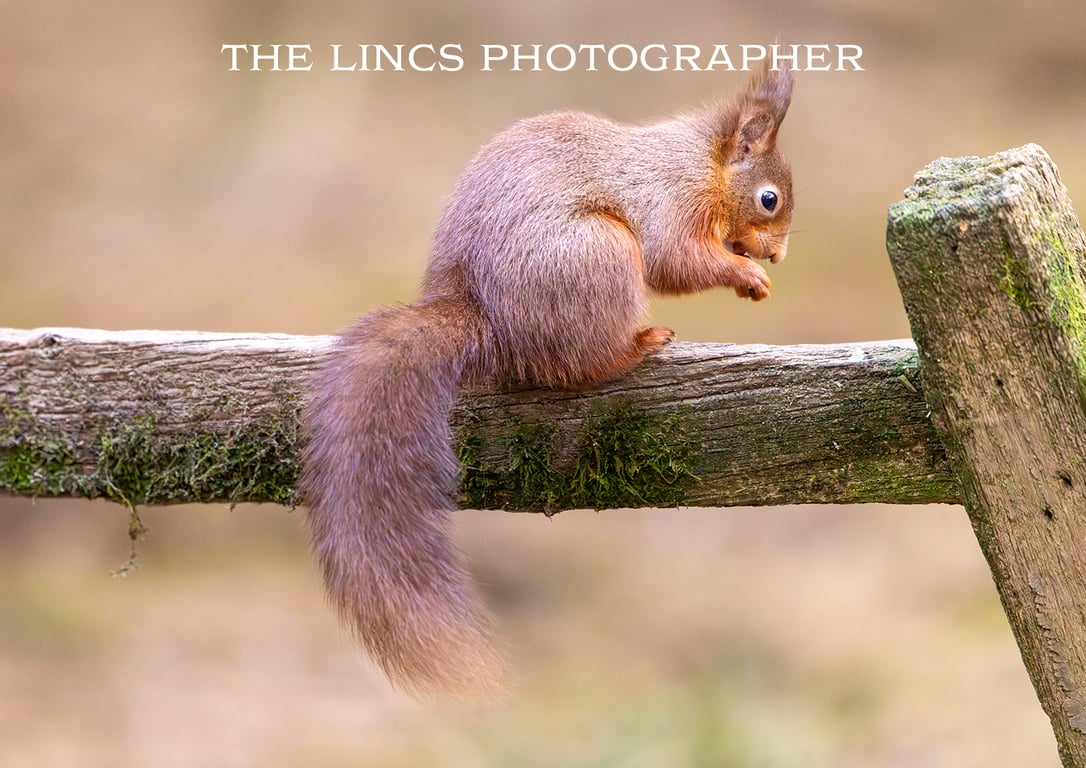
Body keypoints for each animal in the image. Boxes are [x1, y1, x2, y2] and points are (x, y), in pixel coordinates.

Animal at [300, 64, 794, 703]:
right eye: (768, 199)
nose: (779, 256)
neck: (701, 162)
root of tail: (483, 314)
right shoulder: (671, 202)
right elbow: (675, 259)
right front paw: (744, 273)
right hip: (600, 256)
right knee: (580, 365)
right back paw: (639, 344)